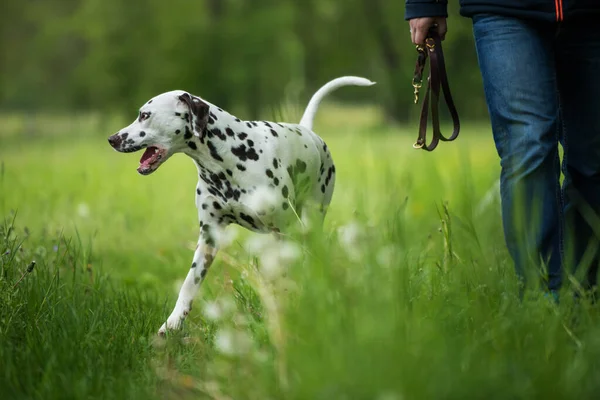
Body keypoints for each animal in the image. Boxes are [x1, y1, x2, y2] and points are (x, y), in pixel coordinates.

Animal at [105, 75, 372, 334]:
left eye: (145, 115)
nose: (112, 139)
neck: (228, 159)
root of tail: (306, 130)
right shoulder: (209, 237)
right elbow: (189, 285)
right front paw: (171, 325)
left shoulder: (286, 230)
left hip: (307, 224)